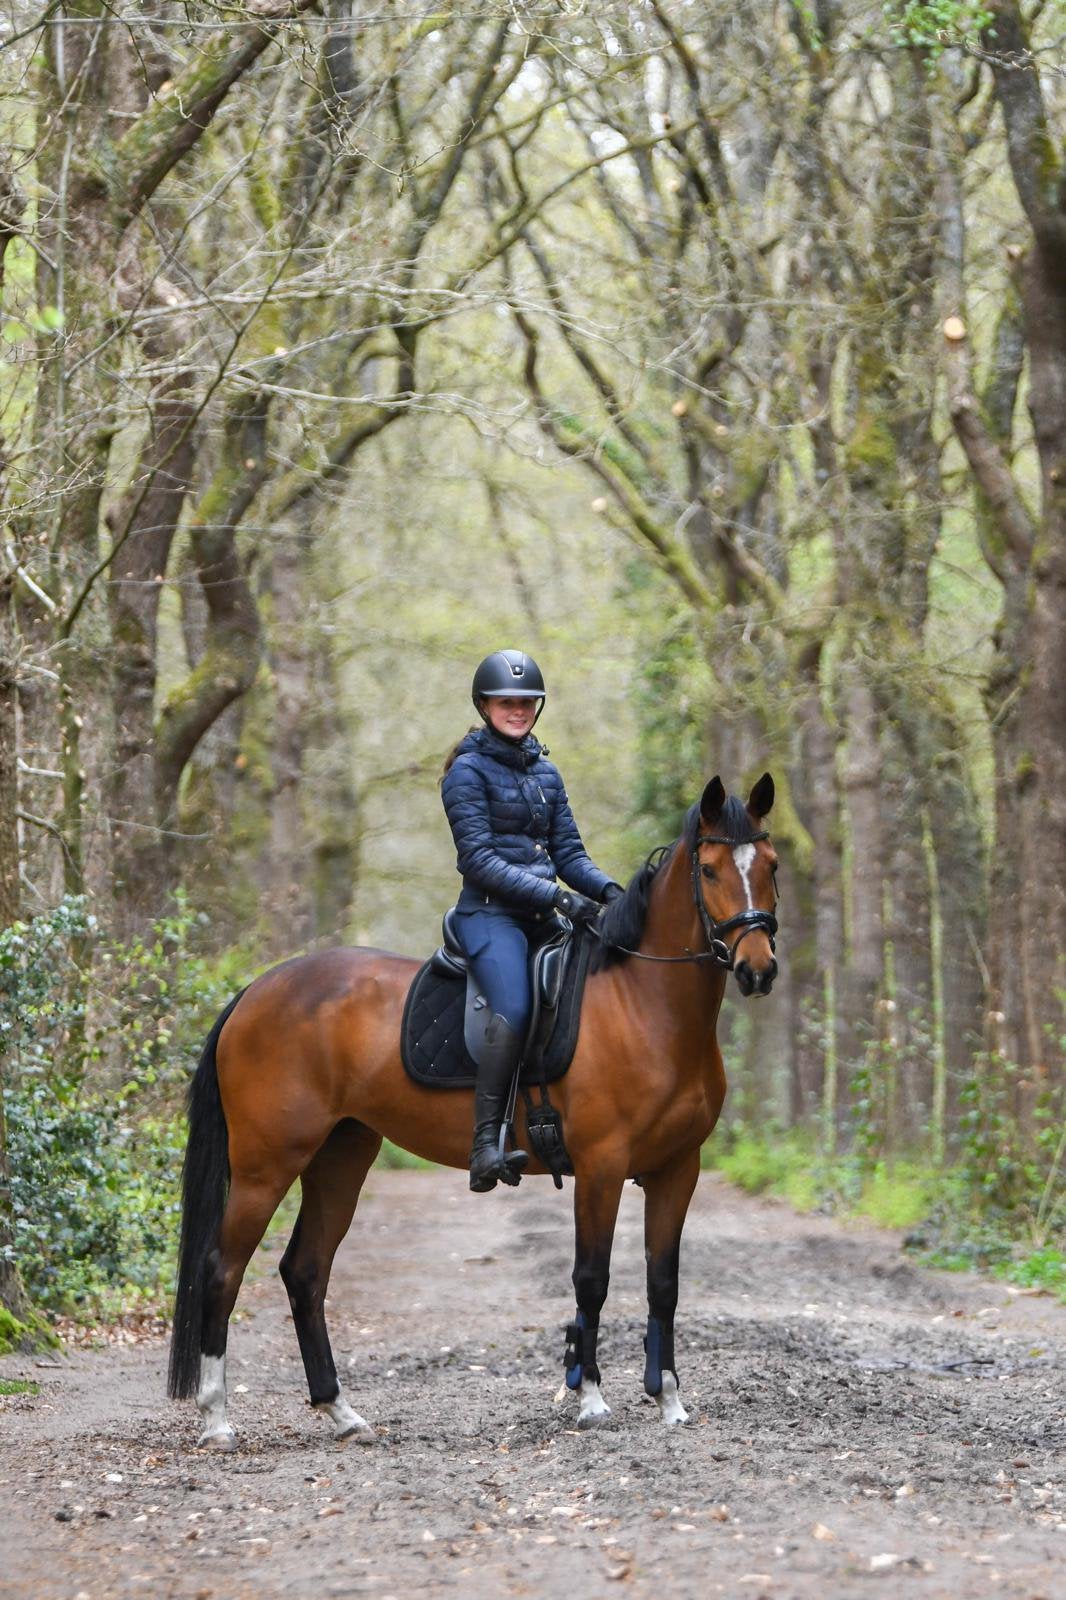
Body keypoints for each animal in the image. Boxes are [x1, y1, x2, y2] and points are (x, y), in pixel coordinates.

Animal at [167, 773, 779, 1446]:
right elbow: (591, 1278)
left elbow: (662, 1283)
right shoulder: (601, 1166)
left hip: (341, 1155)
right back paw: (217, 1420)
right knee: (222, 1270)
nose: (758, 968)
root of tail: (255, 991)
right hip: (265, 1164)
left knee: (305, 1271)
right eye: (710, 869)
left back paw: (342, 1412)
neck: (644, 1004)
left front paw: (669, 1400)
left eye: (772, 865)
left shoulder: (678, 1169)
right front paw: (590, 1399)